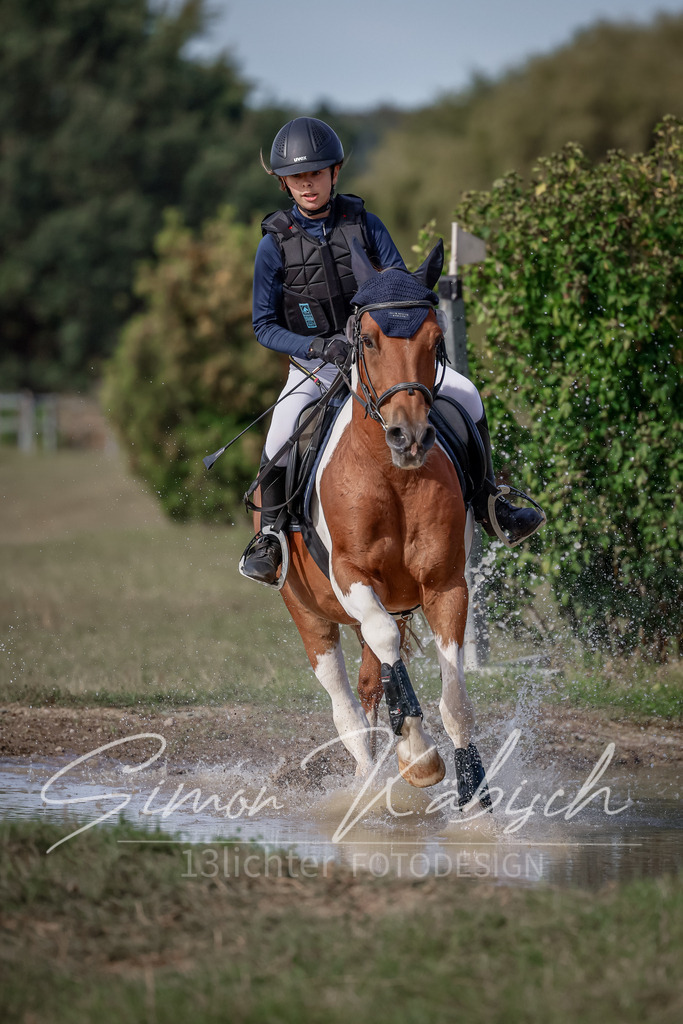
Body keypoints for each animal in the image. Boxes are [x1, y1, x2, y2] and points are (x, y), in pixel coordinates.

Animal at [259, 240, 491, 808]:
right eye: (366, 339)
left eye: (436, 339)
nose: (410, 436)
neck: (392, 476)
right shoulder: (350, 575)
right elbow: (385, 644)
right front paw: (420, 757)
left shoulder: (445, 584)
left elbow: (455, 697)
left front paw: (473, 793)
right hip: (309, 614)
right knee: (347, 708)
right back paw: (366, 788)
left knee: (371, 681)